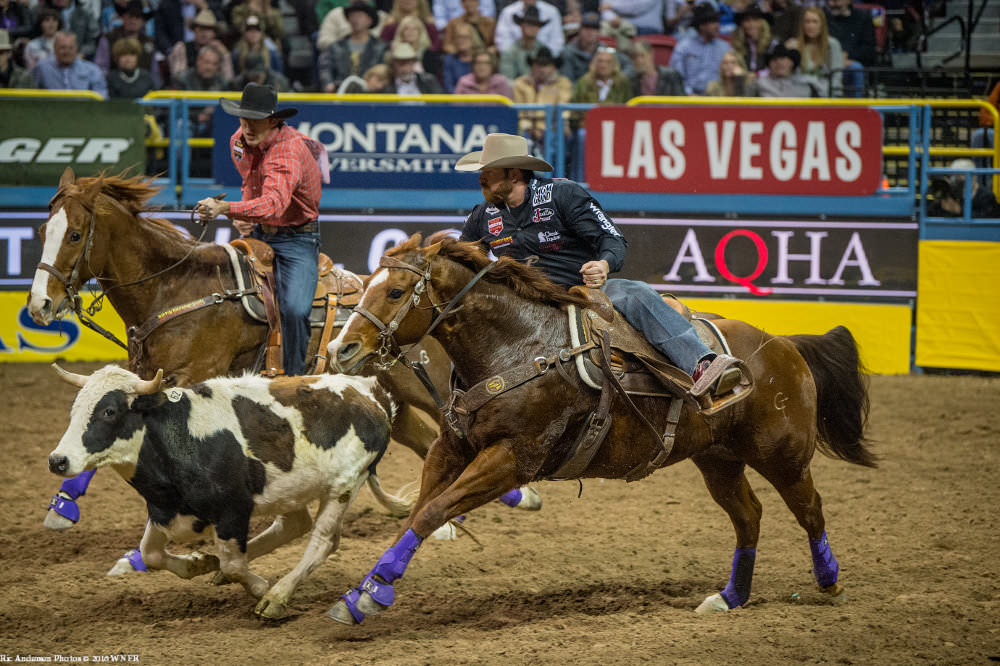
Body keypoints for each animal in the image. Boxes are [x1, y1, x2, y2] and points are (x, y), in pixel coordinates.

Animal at [322, 233, 876, 624]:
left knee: (809, 509)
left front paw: (370, 596)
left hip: (783, 455)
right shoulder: (451, 447)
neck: (521, 346)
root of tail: (783, 344)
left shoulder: (513, 459)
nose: (340, 350)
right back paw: (730, 596)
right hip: (718, 459)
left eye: (396, 291)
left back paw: (829, 582)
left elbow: (433, 511)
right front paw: (362, 593)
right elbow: (419, 513)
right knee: (749, 516)